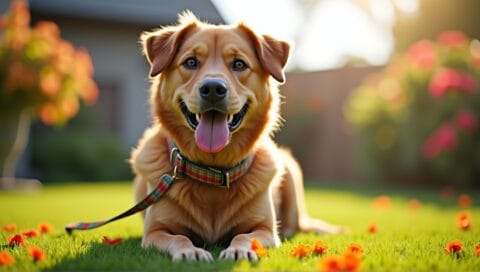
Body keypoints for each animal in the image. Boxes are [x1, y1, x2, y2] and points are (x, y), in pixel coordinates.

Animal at [129, 12, 344, 262]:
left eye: (239, 64)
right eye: (190, 62)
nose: (213, 88)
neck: (212, 170)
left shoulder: (265, 229)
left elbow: (244, 236)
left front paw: (238, 249)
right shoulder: (155, 232)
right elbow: (179, 237)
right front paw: (190, 251)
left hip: (291, 173)